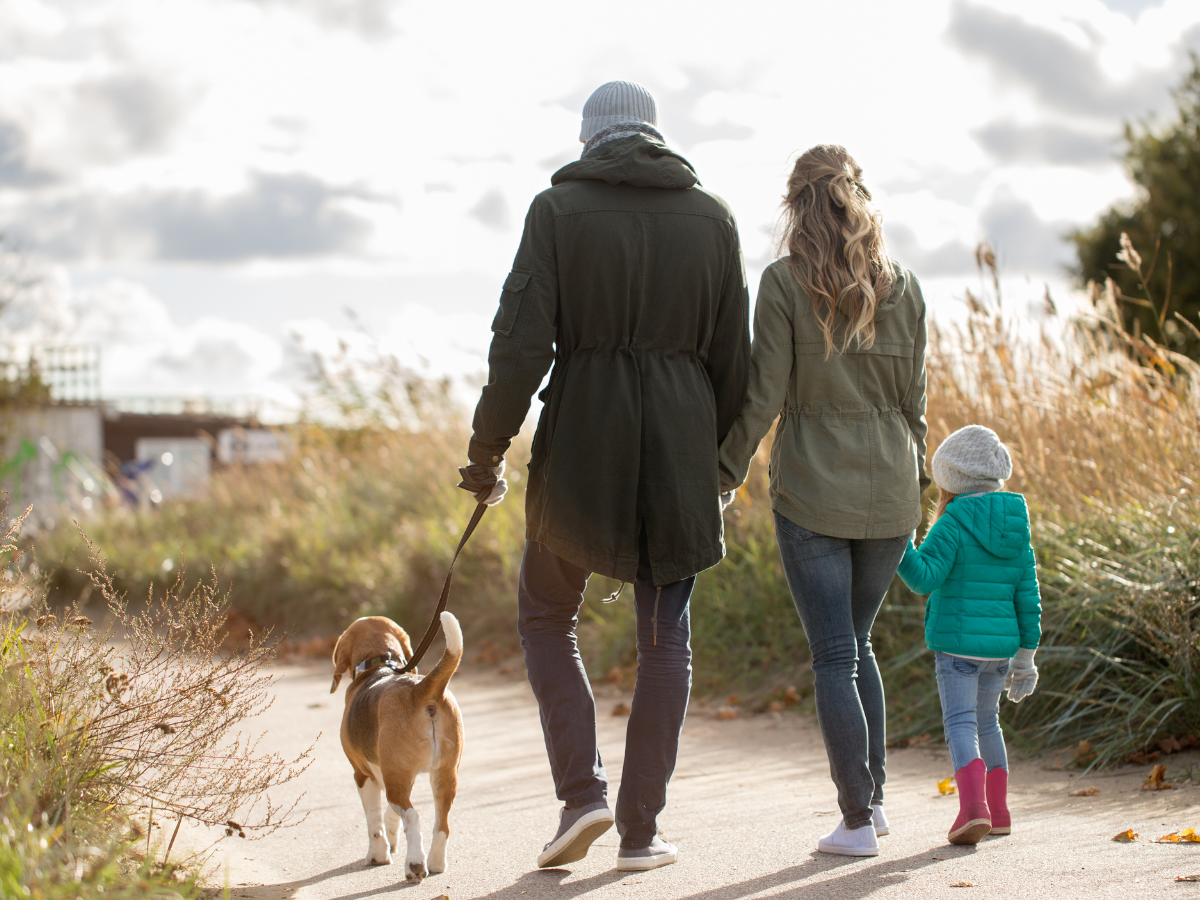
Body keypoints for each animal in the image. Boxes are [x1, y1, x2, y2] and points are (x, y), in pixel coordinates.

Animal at [331, 609, 465, 883]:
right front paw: (391, 841)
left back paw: (415, 864)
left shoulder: (362, 774)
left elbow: (374, 822)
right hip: (443, 776)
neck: (381, 664)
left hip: (397, 783)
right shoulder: (400, 775)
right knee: (442, 825)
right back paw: (435, 863)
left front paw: (378, 855)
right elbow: (389, 816)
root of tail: (421, 690)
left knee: (413, 816)